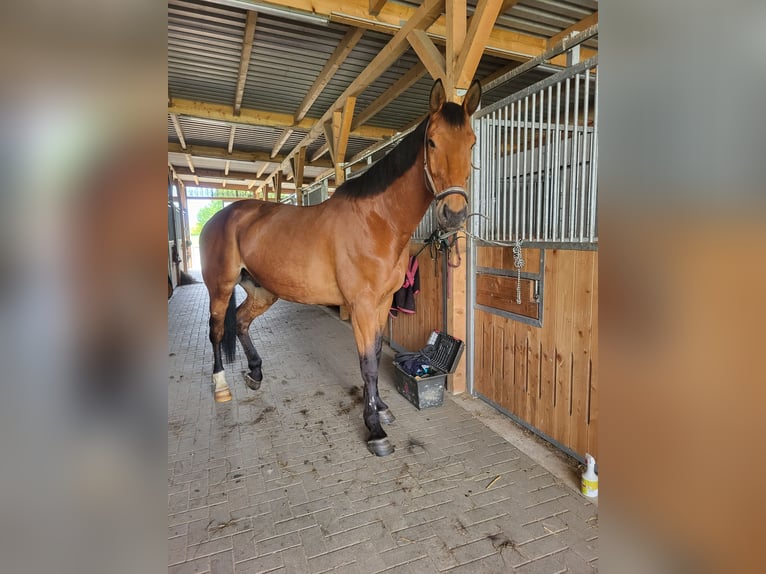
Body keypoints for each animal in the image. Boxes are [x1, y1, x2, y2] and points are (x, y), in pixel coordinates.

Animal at [201, 80, 484, 460]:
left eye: (471, 142)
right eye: (432, 141)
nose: (454, 214)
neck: (377, 222)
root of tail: (221, 215)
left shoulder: (382, 303)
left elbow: (375, 354)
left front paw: (381, 409)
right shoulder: (361, 306)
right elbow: (367, 364)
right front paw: (375, 431)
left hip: (263, 290)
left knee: (243, 322)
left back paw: (255, 374)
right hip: (220, 287)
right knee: (217, 331)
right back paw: (220, 387)